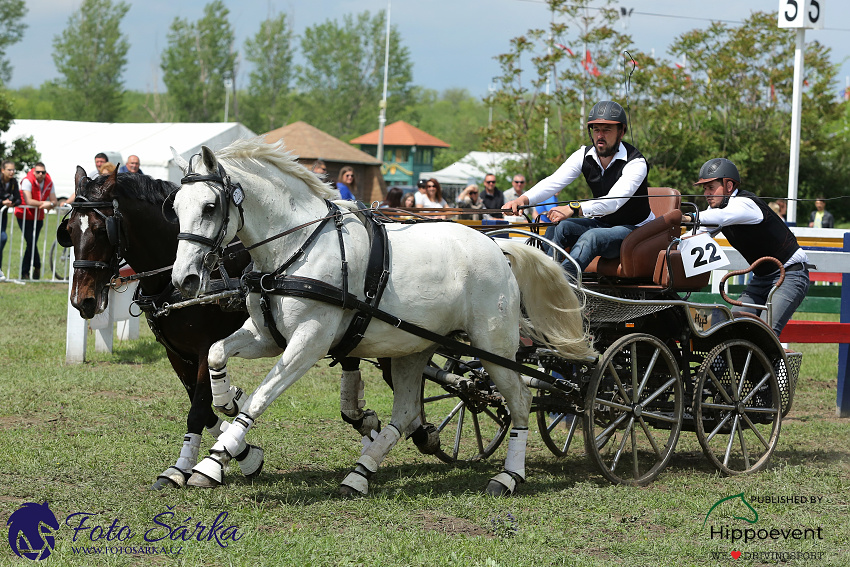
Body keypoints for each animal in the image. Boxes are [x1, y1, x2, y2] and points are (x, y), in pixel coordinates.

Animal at [169, 139, 592, 496]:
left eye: (209, 207)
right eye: (174, 208)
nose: (183, 279)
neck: (296, 249)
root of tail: (497, 245)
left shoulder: (308, 343)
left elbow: (260, 398)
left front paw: (214, 461)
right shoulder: (266, 336)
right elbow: (216, 353)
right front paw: (227, 400)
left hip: (494, 347)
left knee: (520, 400)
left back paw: (508, 476)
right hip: (416, 347)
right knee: (406, 412)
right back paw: (360, 474)